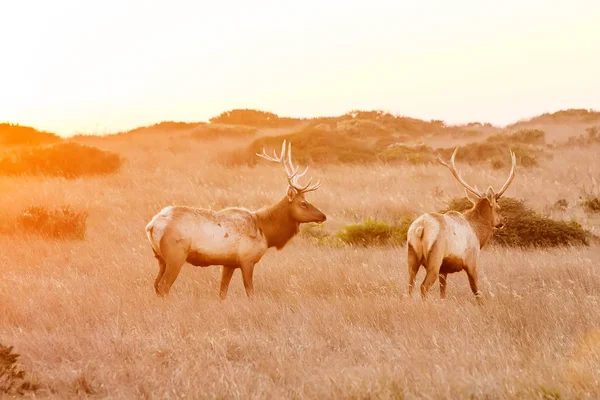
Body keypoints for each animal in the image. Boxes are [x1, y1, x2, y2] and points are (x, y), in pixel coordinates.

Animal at [145, 139, 326, 298]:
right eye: (303, 203)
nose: (323, 216)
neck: (266, 232)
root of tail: (152, 225)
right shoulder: (247, 260)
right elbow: (250, 292)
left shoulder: (229, 263)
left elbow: (222, 292)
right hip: (175, 257)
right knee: (164, 286)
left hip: (160, 258)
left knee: (156, 285)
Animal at [408, 148, 516, 302]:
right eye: (498, 208)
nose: (501, 222)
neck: (478, 233)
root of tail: (420, 228)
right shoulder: (472, 262)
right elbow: (477, 292)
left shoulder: (444, 270)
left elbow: (443, 293)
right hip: (434, 258)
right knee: (424, 287)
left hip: (412, 257)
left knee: (410, 286)